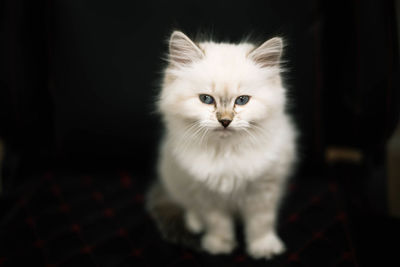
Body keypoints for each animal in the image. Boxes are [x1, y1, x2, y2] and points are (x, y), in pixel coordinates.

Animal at [148, 30, 296, 260]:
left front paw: (263, 248)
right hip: (174, 177)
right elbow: (218, 223)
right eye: (206, 99)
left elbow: (261, 223)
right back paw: (195, 223)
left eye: (242, 100)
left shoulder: (264, 189)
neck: (226, 152)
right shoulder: (206, 192)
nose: (225, 121)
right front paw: (220, 246)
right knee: (187, 205)